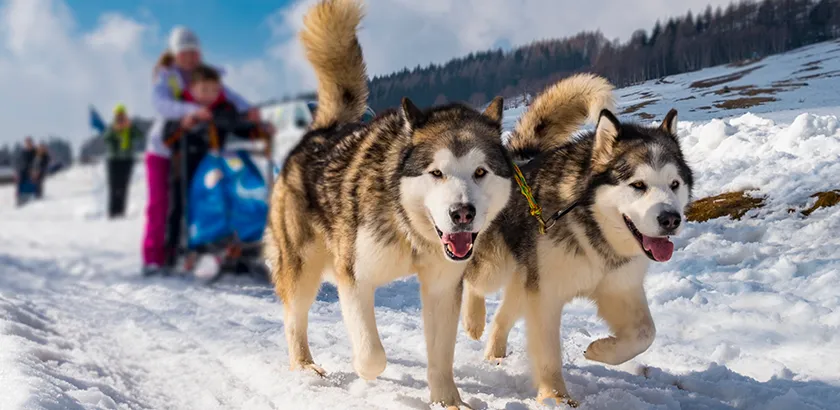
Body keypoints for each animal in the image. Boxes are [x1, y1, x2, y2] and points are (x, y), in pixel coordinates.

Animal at [262, 0, 512, 406]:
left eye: (480, 172)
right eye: (436, 173)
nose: (462, 213)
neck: (408, 227)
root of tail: (321, 132)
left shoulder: (442, 287)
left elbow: (441, 358)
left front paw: (448, 402)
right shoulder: (354, 278)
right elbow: (371, 355)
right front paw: (366, 372)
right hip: (302, 267)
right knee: (293, 320)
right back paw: (304, 366)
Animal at [462, 73, 692, 404]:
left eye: (674, 184)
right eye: (638, 185)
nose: (671, 219)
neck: (594, 230)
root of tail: (514, 160)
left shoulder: (619, 286)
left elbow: (645, 333)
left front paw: (601, 351)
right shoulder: (544, 294)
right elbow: (547, 354)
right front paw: (555, 398)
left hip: (525, 275)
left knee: (505, 312)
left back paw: (495, 351)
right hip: (496, 266)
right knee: (474, 279)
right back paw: (473, 321)